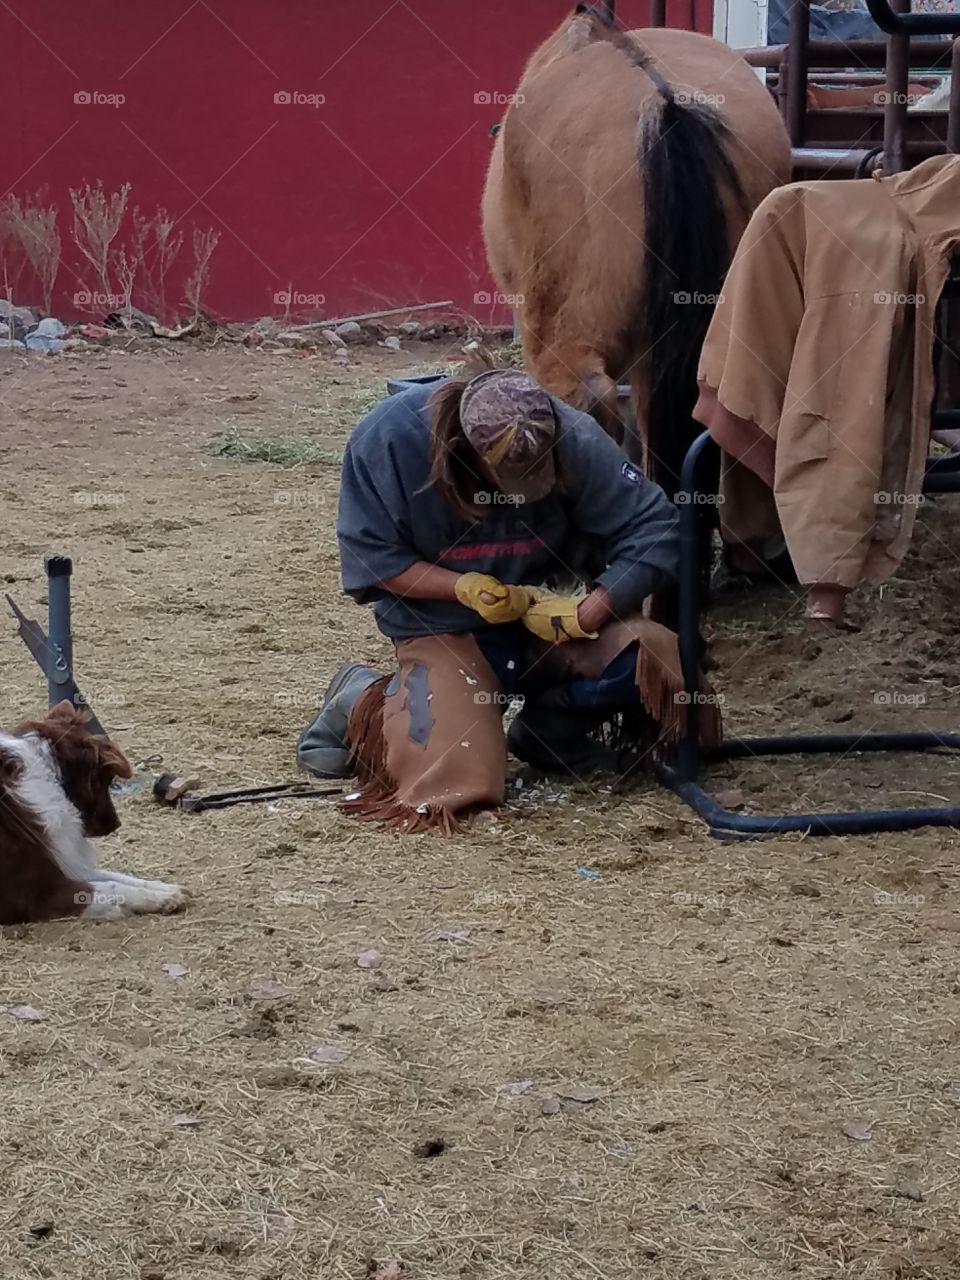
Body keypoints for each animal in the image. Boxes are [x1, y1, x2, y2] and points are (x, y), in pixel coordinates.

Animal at [0, 701, 186, 921]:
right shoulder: (36, 893)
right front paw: (154, 898)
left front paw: (162, 889)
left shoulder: (64, 860)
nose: (116, 824)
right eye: (106, 780)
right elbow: (110, 886)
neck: (52, 774)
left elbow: (114, 876)